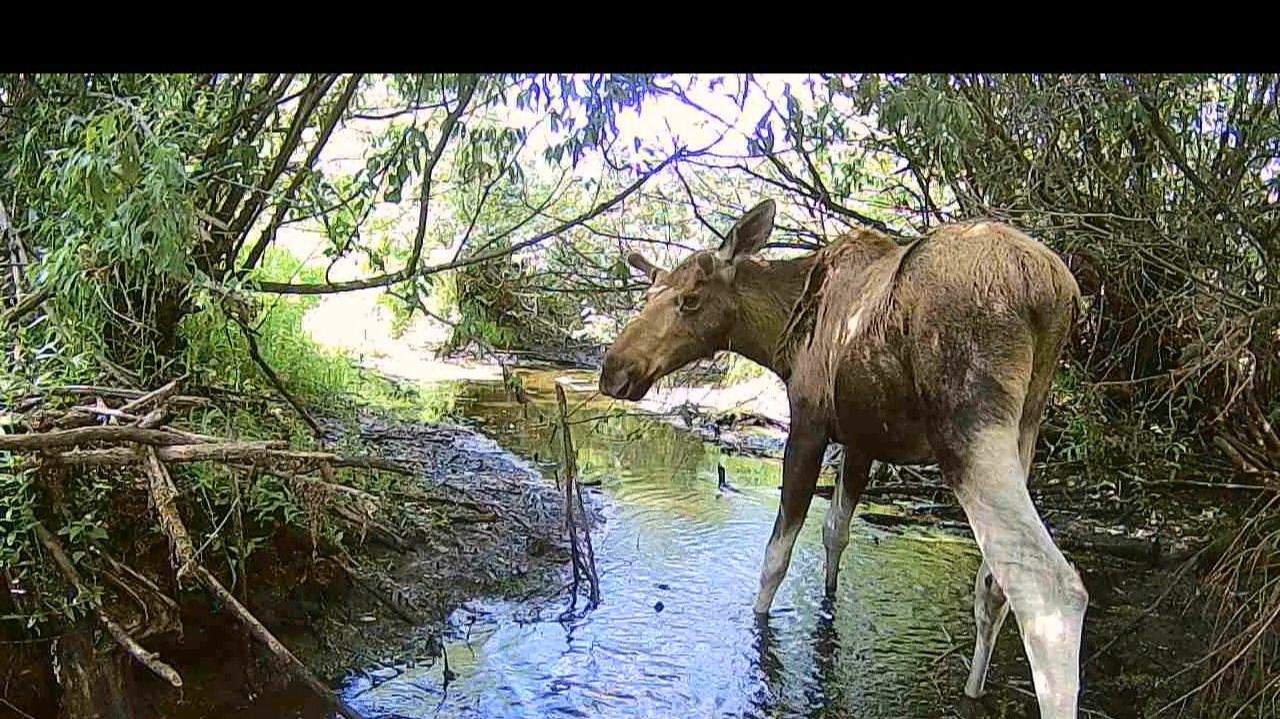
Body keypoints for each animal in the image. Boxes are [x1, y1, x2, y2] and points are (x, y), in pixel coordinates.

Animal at [599, 199, 1088, 719]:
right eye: (648, 294)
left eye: (690, 299)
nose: (614, 371)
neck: (778, 337)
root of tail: (1053, 290)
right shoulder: (863, 440)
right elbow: (836, 530)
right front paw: (828, 604)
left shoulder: (809, 423)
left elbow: (776, 554)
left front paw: (758, 625)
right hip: (1026, 425)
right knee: (995, 584)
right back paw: (973, 688)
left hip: (968, 425)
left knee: (1048, 587)